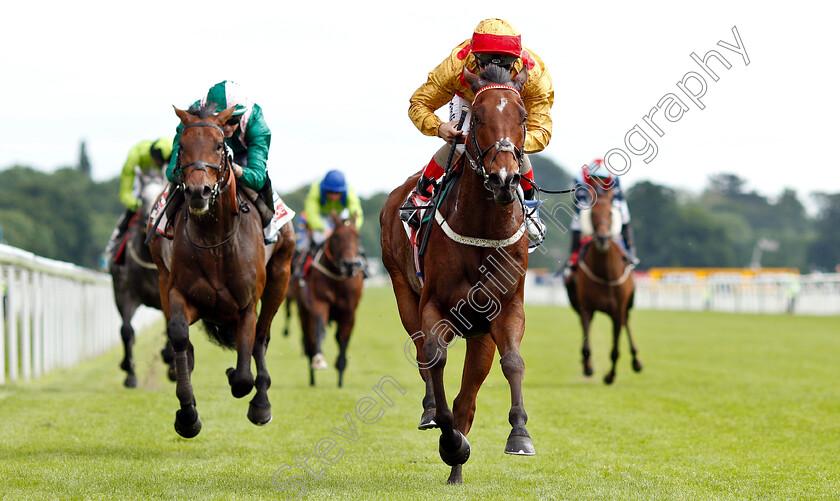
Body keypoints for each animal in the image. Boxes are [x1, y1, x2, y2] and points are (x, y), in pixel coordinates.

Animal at [110, 168, 173, 386]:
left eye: (161, 192)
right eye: (141, 198)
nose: (148, 220)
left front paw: (170, 361)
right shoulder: (125, 294)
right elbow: (127, 330)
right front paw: (130, 372)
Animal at [148, 103, 296, 436]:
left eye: (219, 146)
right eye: (181, 146)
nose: (197, 191)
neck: (214, 241)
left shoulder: (246, 306)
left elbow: (243, 375)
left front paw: (239, 382)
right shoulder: (178, 292)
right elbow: (179, 335)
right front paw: (187, 414)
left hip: (280, 278)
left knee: (262, 338)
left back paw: (261, 403)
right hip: (162, 278)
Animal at [286, 211, 364, 386]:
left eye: (357, 236)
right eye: (336, 237)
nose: (349, 264)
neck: (338, 277)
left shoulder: (349, 312)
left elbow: (343, 338)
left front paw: (340, 374)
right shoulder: (320, 303)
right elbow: (319, 330)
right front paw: (319, 360)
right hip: (303, 311)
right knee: (309, 339)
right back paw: (312, 376)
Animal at [380, 63, 532, 484]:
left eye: (523, 117)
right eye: (477, 116)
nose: (503, 178)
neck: (482, 230)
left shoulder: (505, 310)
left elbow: (513, 363)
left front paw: (519, 434)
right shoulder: (434, 307)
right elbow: (434, 358)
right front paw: (449, 439)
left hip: (479, 333)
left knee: (468, 397)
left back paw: (457, 471)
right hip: (402, 290)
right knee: (422, 356)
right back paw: (435, 416)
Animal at [568, 178, 640, 384]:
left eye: (610, 212)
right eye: (592, 213)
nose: (602, 238)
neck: (605, 276)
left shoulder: (617, 310)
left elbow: (615, 349)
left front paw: (610, 375)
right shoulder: (586, 308)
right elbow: (586, 342)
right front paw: (588, 366)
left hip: (627, 305)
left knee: (627, 323)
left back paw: (636, 360)